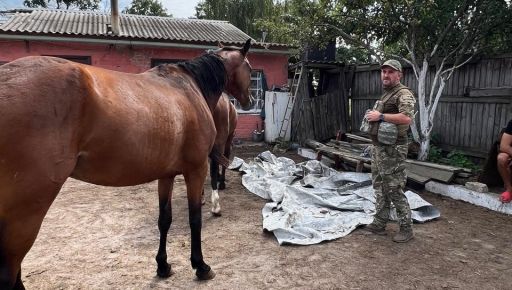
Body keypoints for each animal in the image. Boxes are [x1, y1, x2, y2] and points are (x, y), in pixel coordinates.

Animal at [0, 39, 254, 288]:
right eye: (250, 69)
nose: (249, 101)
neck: (189, 88)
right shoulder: (196, 170)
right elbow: (194, 219)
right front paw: (201, 266)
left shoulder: (166, 175)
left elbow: (165, 219)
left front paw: (163, 266)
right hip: (26, 212)